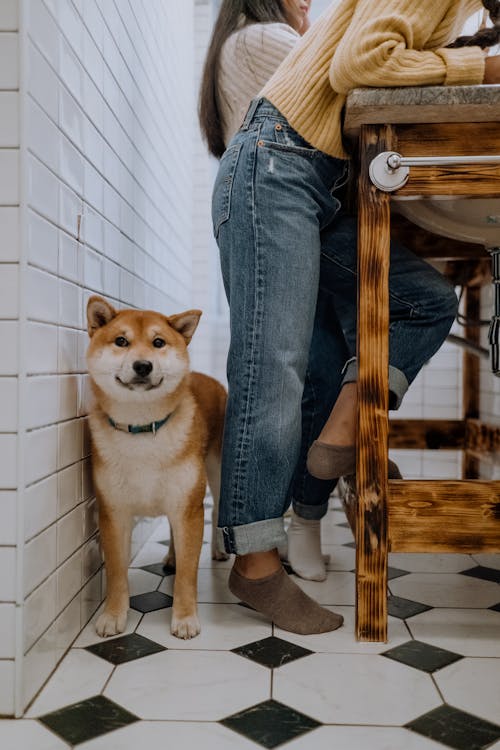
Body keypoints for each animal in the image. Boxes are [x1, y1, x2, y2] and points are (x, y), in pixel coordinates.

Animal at [86, 296, 227, 640]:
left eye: (158, 343)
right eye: (121, 341)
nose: (143, 365)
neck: (142, 430)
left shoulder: (188, 507)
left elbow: (188, 576)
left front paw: (185, 617)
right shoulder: (114, 513)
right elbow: (116, 574)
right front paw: (113, 615)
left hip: (216, 473)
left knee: (218, 509)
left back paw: (217, 549)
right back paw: (172, 557)